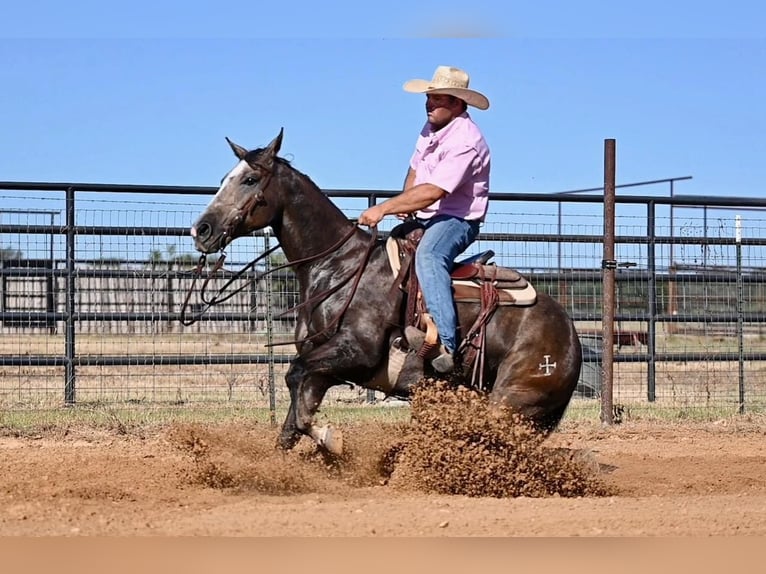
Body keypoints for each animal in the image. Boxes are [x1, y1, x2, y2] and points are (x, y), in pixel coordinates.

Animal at [190, 129, 584, 454]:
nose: (201, 230)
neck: (338, 266)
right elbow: (293, 412)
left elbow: (296, 380)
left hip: (514, 398)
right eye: (224, 179)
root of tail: (571, 334)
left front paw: (329, 439)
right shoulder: (325, 365)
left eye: (250, 179)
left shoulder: (355, 352)